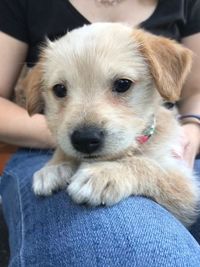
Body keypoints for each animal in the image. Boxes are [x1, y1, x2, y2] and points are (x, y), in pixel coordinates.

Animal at [23, 24, 198, 227]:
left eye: (123, 84)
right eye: (59, 89)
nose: (85, 140)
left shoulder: (186, 190)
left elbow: (149, 165)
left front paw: (105, 173)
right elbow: (63, 148)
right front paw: (55, 166)